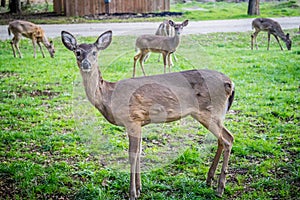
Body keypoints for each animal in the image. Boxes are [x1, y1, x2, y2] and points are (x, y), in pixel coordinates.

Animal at [60, 30, 234, 200]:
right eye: (77, 52)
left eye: (95, 52)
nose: (86, 64)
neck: (108, 96)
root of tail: (230, 83)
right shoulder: (140, 121)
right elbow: (139, 153)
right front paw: (139, 188)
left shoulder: (132, 119)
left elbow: (132, 155)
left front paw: (132, 193)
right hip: (212, 114)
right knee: (222, 139)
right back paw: (209, 179)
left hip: (210, 111)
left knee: (228, 139)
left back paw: (220, 188)